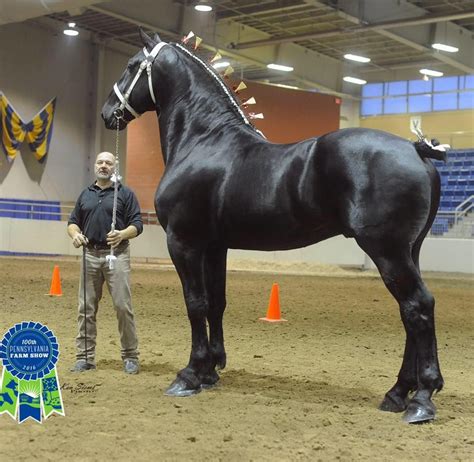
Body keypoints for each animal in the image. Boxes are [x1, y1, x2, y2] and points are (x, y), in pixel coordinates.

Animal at [102, 29, 446, 426]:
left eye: (131, 66)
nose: (107, 113)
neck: (203, 140)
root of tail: (416, 149)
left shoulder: (184, 242)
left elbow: (195, 303)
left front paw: (189, 375)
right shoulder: (215, 246)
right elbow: (216, 303)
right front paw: (210, 371)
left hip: (387, 252)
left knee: (417, 307)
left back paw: (421, 398)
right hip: (408, 252)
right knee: (410, 313)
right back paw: (397, 393)